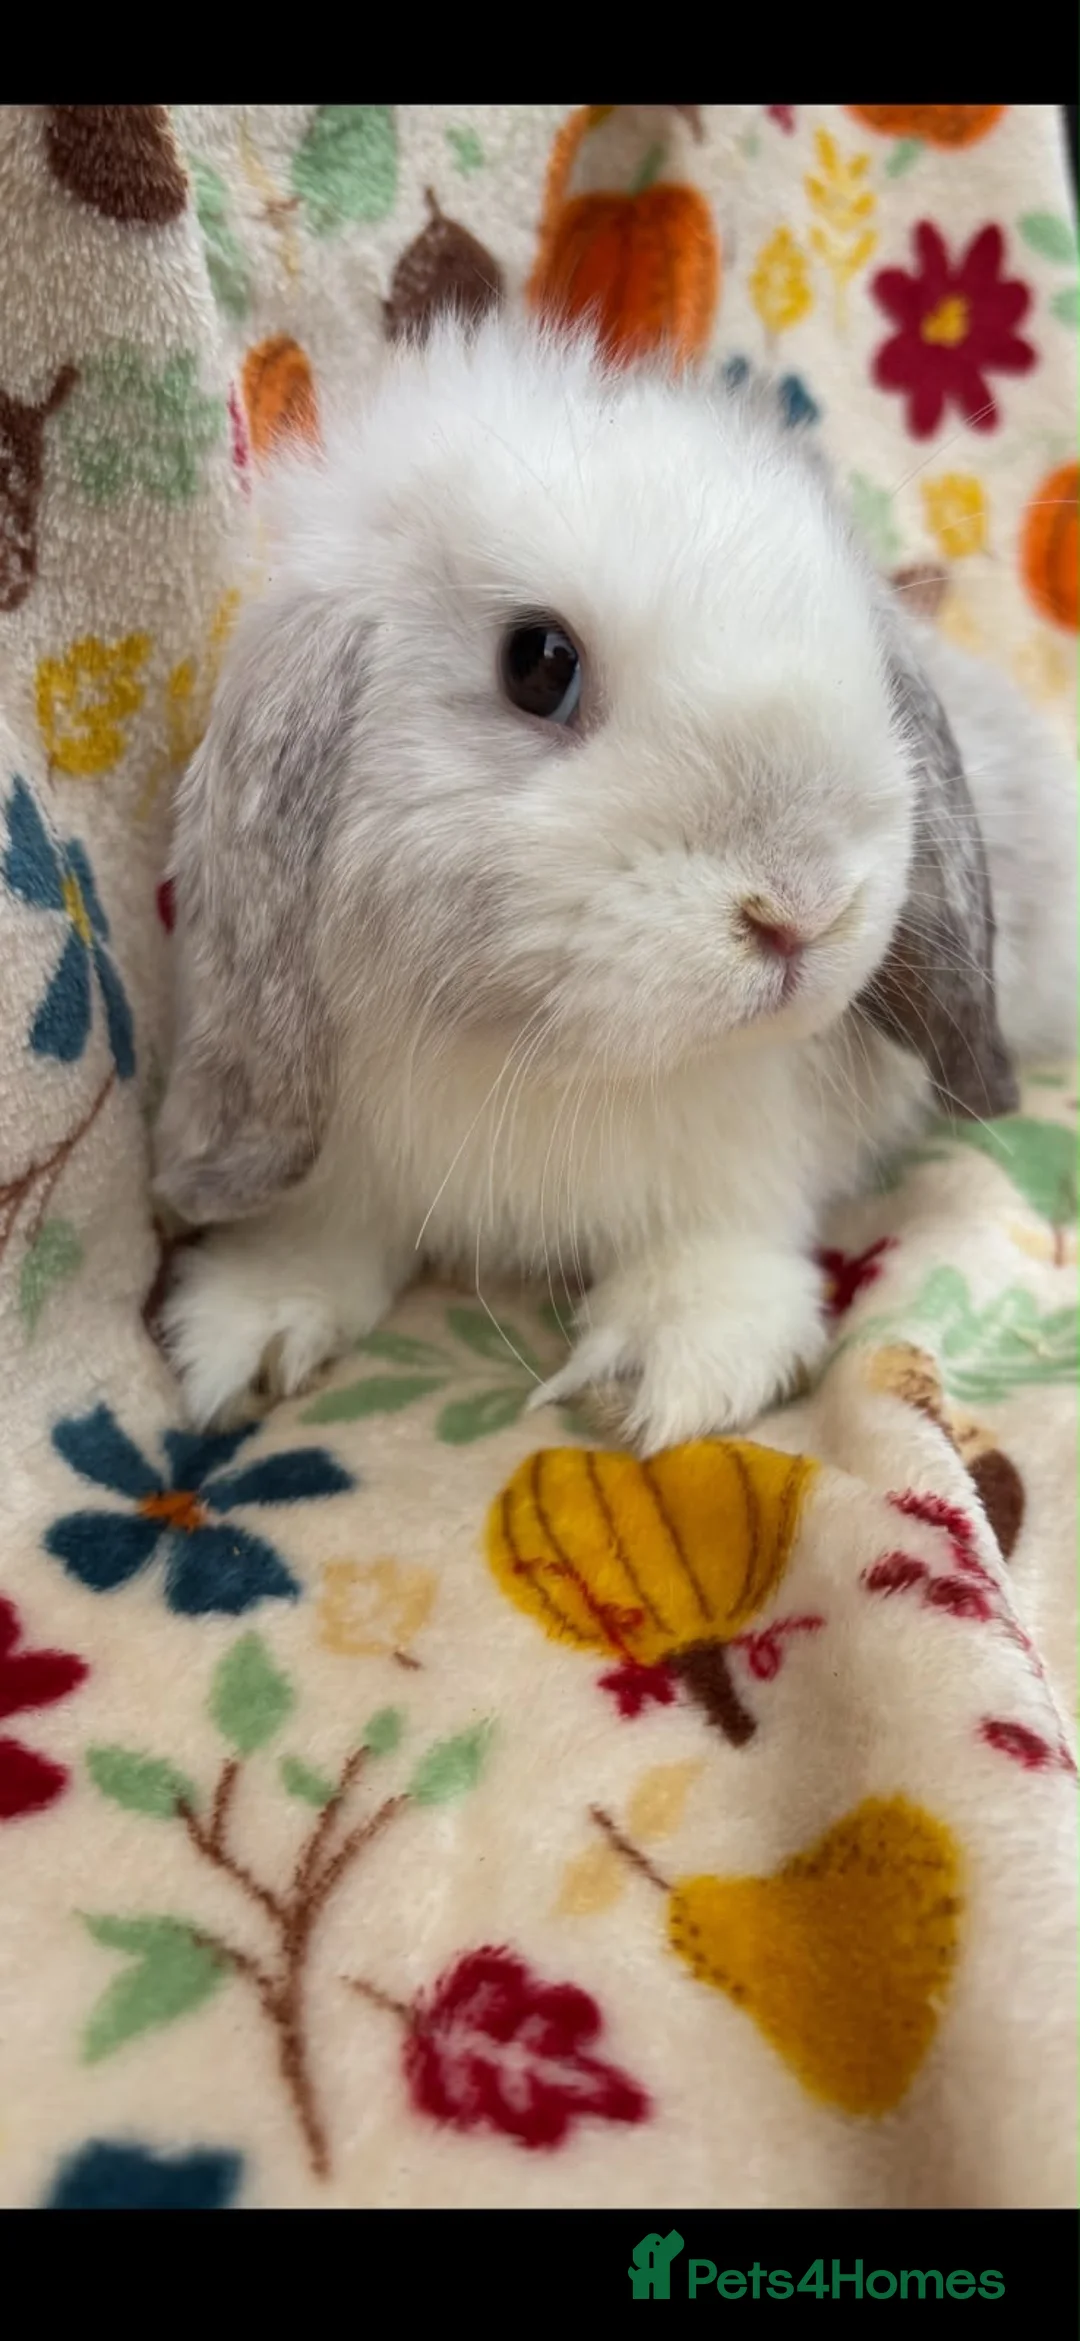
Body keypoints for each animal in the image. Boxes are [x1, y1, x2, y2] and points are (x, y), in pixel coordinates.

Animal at [152, 313, 1077, 1452]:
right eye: (539, 663)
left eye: (867, 651)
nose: (802, 910)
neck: (549, 1053)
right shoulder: (344, 1146)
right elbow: (323, 1231)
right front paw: (253, 1327)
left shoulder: (741, 1156)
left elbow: (720, 1237)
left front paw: (671, 1367)